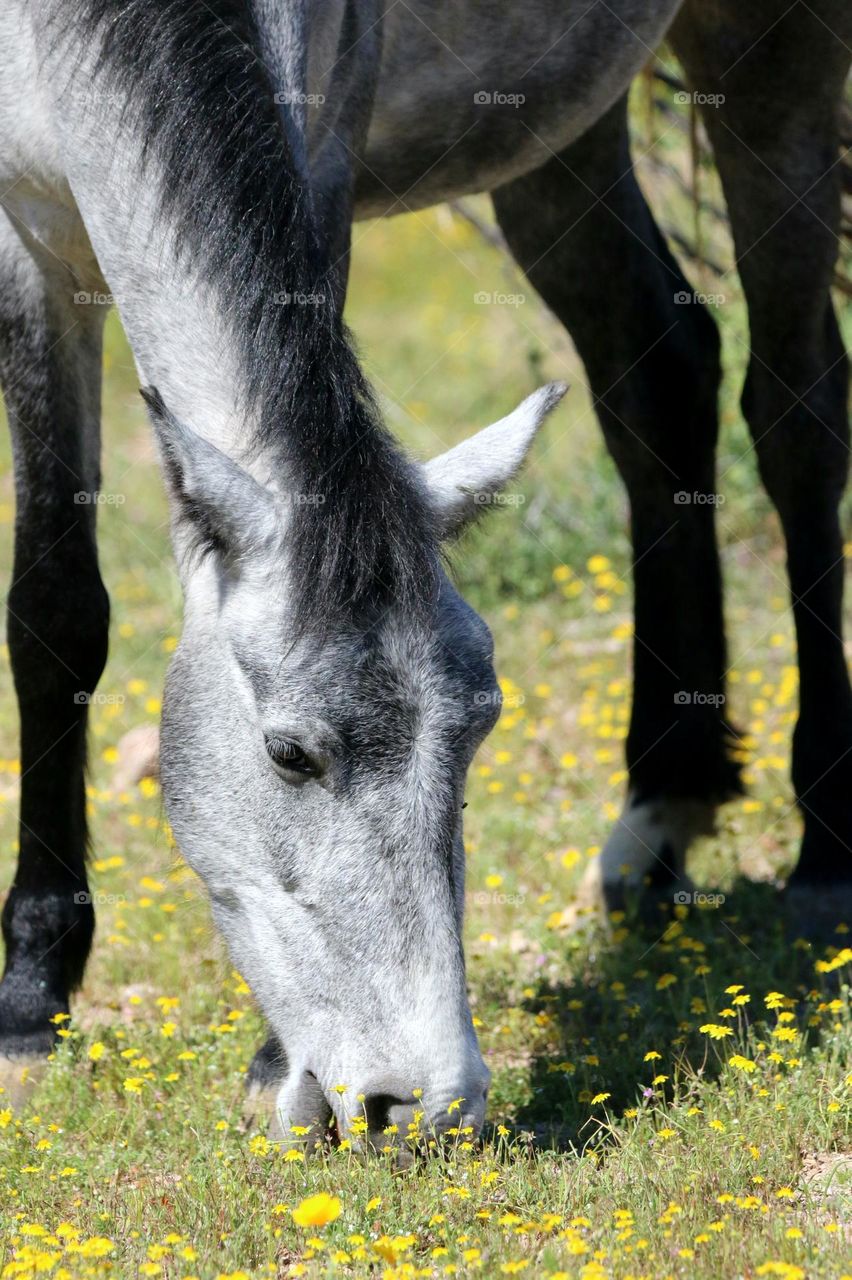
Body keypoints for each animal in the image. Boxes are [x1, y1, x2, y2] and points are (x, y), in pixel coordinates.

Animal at [0, 0, 848, 1148]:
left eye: (482, 729)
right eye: (288, 753)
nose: (422, 1104)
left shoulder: (318, 150)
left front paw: (267, 1065)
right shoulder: (25, 239)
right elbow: (53, 611)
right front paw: (30, 997)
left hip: (774, 63)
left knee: (799, 413)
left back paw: (825, 854)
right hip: (563, 132)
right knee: (661, 369)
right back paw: (662, 810)